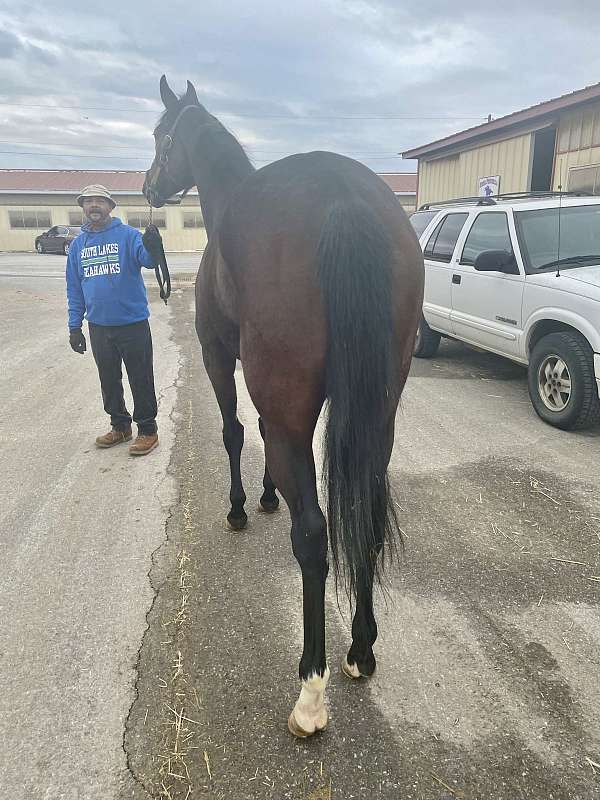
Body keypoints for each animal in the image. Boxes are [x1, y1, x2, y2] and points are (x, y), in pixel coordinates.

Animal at [143, 76, 424, 736]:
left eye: (161, 136)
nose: (146, 188)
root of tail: (344, 197)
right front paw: (269, 494)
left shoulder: (217, 356)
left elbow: (233, 432)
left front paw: (243, 507)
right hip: (378, 414)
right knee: (367, 512)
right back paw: (361, 650)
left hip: (289, 404)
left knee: (314, 536)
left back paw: (311, 690)